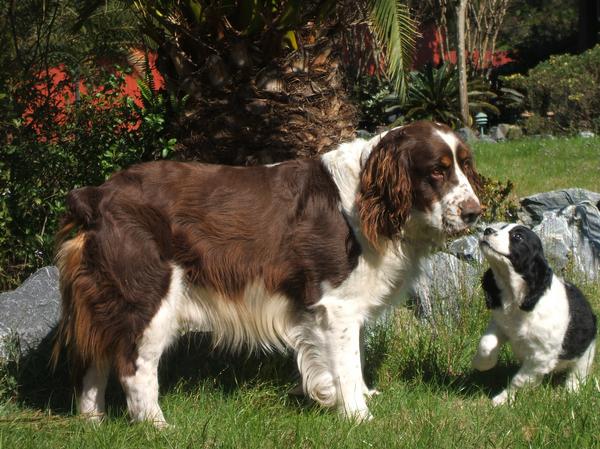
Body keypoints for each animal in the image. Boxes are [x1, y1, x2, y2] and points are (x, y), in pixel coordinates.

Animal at [52, 119, 482, 424]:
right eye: (437, 171)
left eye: (464, 165)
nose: (475, 213)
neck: (365, 197)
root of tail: (96, 195)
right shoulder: (335, 305)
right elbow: (345, 364)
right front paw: (358, 415)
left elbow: (352, 358)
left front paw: (356, 397)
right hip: (148, 294)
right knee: (133, 367)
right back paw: (158, 427)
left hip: (106, 298)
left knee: (94, 361)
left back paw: (93, 422)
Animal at [474, 223, 596, 402]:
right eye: (501, 227)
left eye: (517, 237)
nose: (487, 230)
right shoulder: (500, 323)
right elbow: (486, 343)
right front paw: (482, 364)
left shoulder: (541, 356)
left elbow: (519, 379)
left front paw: (502, 399)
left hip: (586, 352)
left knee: (577, 373)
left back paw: (569, 392)